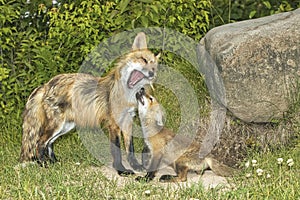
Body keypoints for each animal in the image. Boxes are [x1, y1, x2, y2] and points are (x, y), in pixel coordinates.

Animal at [19, 32, 161, 175]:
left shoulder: (127, 121)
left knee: (49, 143)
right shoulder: (113, 123)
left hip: (65, 126)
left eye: (154, 67)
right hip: (56, 125)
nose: (152, 73)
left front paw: (135, 166)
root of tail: (46, 85)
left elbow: (130, 148)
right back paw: (44, 165)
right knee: (39, 143)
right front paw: (121, 170)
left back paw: (55, 164)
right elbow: (116, 150)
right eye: (143, 60)